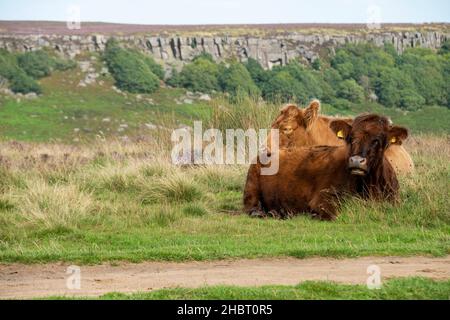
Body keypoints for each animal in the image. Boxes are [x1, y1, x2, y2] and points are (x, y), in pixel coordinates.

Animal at [244, 113, 410, 220]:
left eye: (377, 140)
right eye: (350, 137)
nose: (356, 160)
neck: (370, 186)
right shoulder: (323, 198)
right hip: (251, 186)